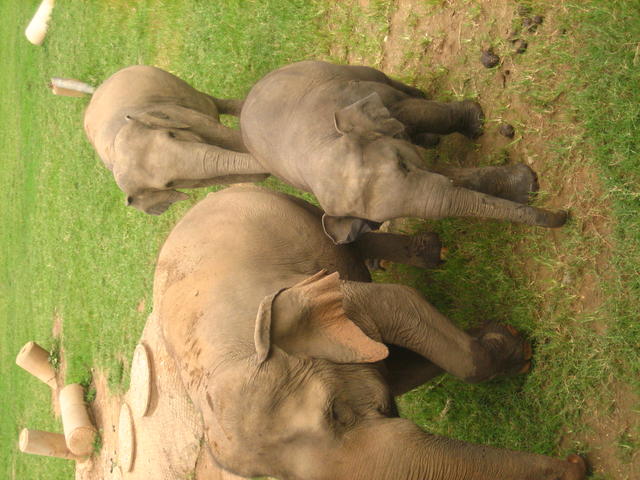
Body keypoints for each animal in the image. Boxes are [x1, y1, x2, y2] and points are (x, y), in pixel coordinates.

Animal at [154, 185, 586, 480]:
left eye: (336, 413)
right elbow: (394, 368)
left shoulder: (332, 292)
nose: (577, 462)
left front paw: (514, 347)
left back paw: (431, 252)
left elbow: (397, 301)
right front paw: (496, 337)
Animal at [239, 60, 569, 243]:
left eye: (402, 164)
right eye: (393, 217)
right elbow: (443, 174)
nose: (563, 216)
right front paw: (525, 186)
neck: (324, 144)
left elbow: (412, 112)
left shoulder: (356, 94)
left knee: (383, 79)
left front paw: (476, 122)